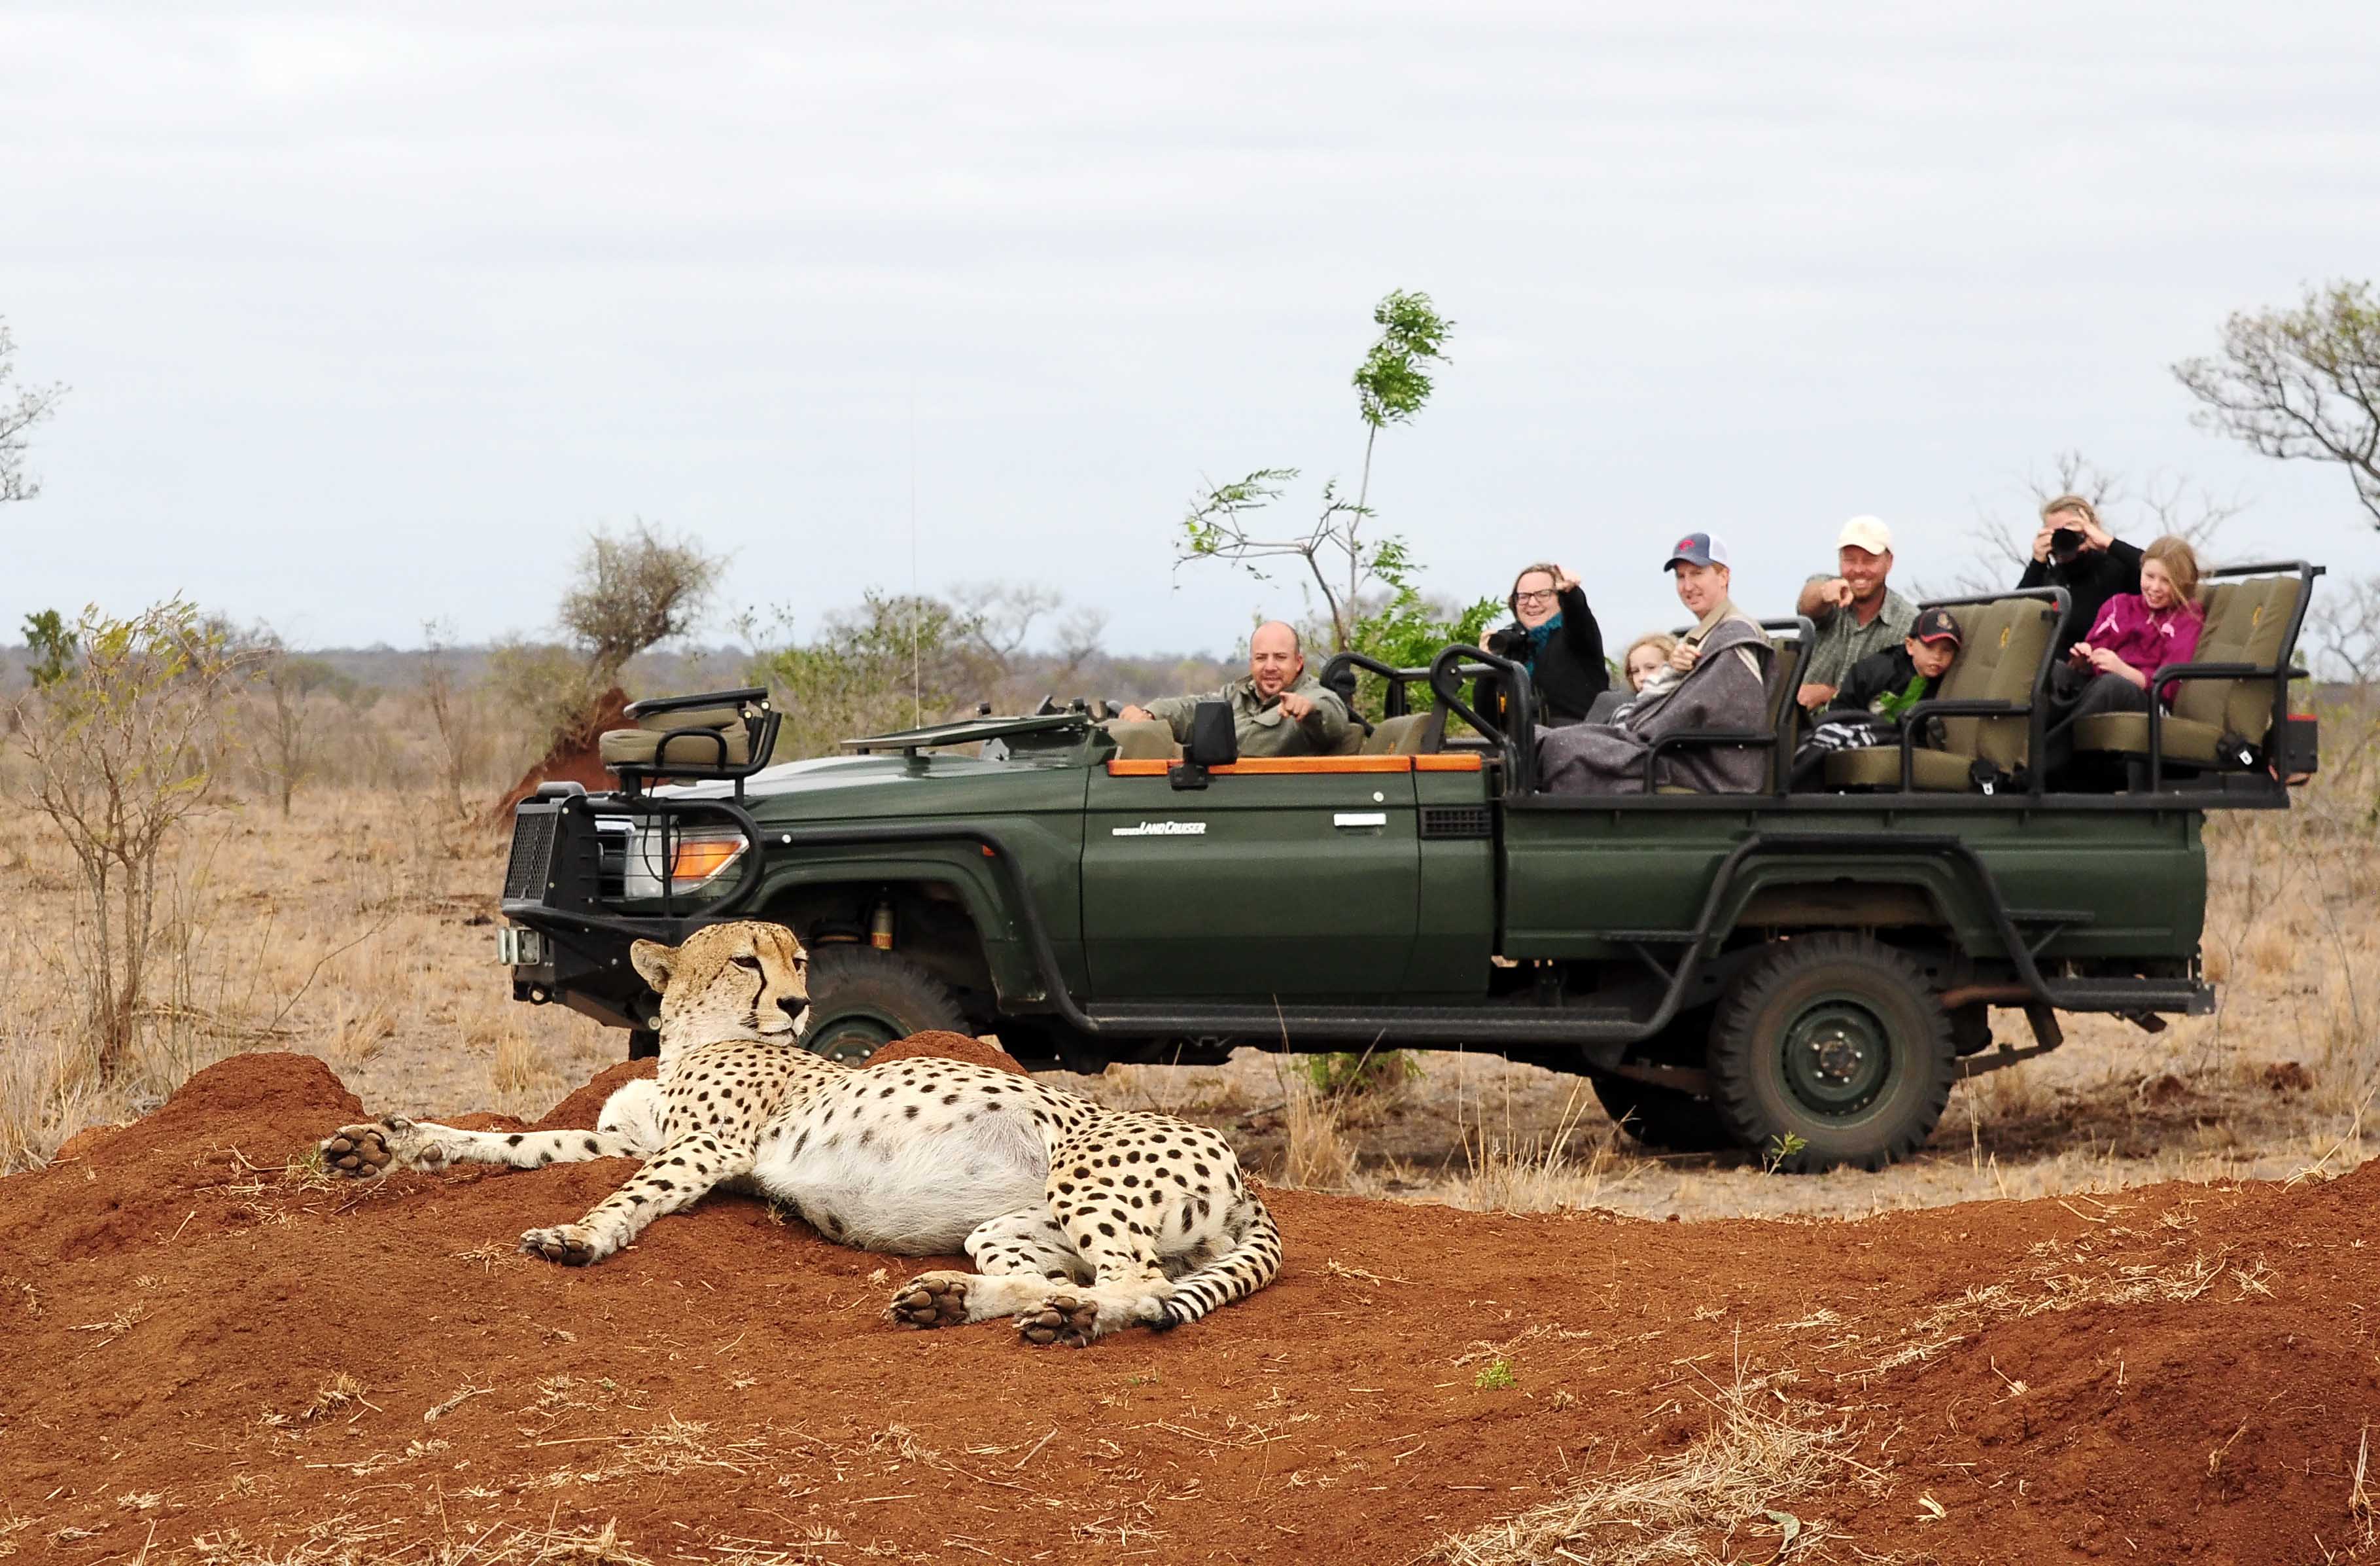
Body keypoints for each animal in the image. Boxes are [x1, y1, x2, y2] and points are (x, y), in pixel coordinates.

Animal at [321, 914, 1285, 1342]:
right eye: (748, 960)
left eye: (798, 960)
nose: (796, 1004)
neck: (695, 1035)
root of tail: (1245, 1175)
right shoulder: (630, 1137)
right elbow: (521, 1145)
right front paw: (388, 1141)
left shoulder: (704, 1147)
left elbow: (625, 1197)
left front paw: (579, 1236)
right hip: (1009, 1227)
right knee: (1065, 1275)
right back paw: (954, 1298)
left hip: (1083, 1170)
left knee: (1141, 1286)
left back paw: (1071, 1319)